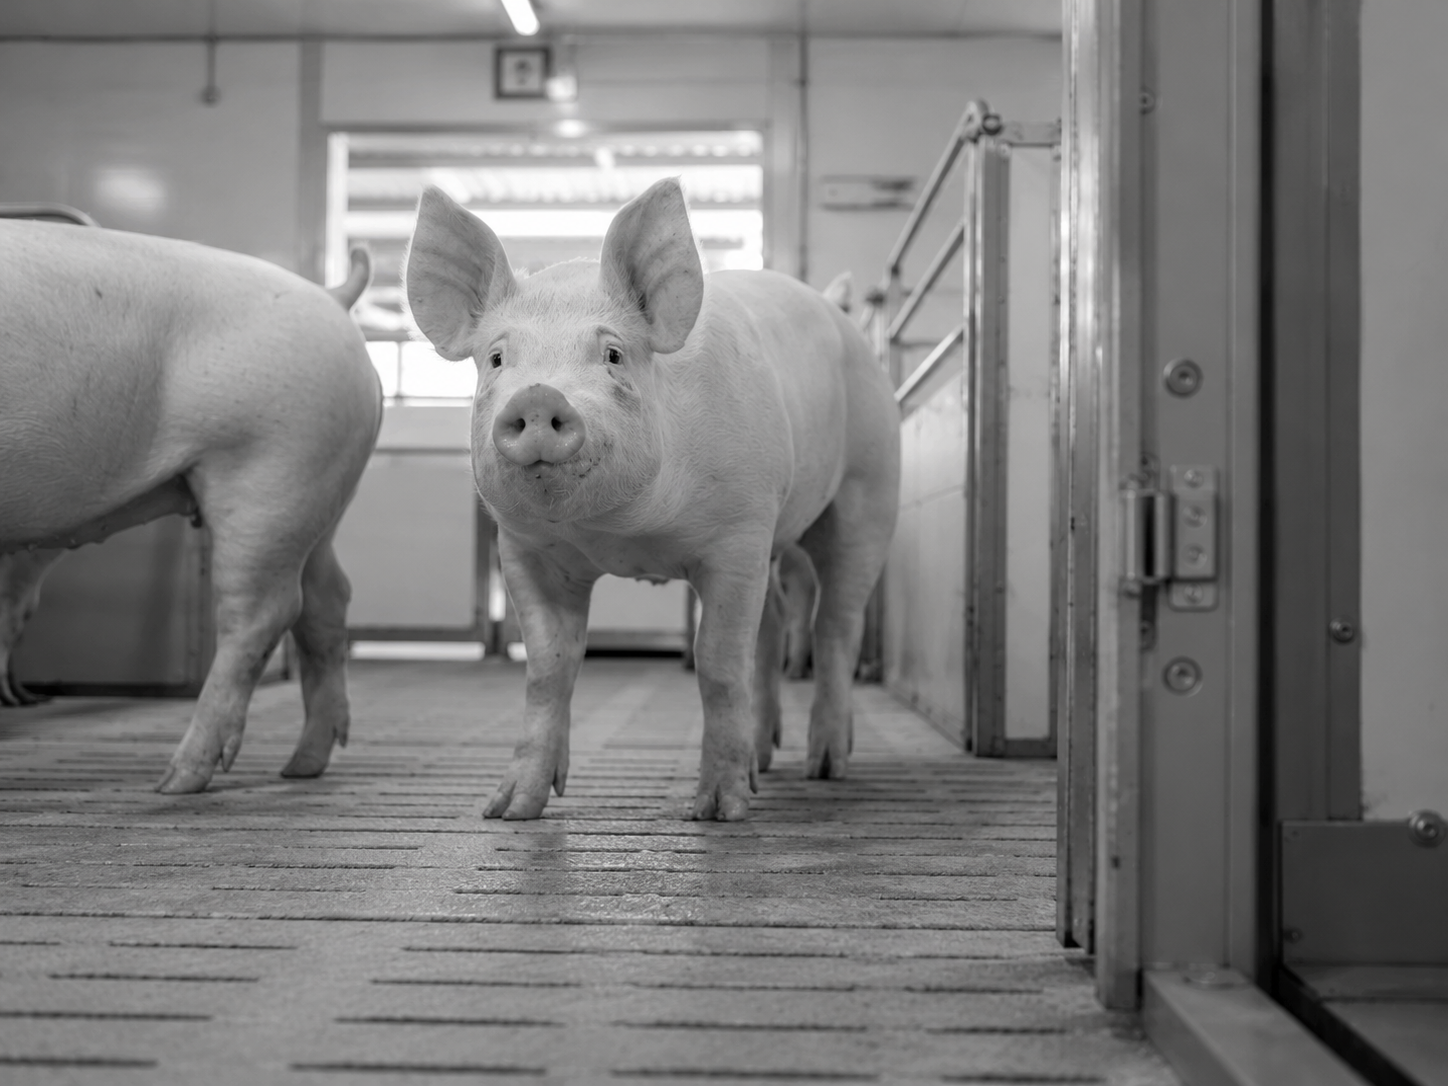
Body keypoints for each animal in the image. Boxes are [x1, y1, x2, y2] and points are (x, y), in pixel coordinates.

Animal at [0, 220, 382, 793]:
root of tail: (331, 296)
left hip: (270, 470)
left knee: (261, 612)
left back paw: (178, 779)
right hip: (322, 489)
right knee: (328, 599)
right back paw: (300, 766)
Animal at [405, 177, 901, 821]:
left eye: (613, 354)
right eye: (496, 358)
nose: (537, 396)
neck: (625, 538)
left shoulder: (737, 534)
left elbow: (717, 662)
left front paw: (717, 811)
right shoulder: (525, 550)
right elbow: (547, 670)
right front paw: (508, 809)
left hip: (868, 490)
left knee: (834, 623)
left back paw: (824, 767)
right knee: (772, 627)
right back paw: (763, 765)